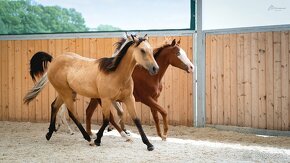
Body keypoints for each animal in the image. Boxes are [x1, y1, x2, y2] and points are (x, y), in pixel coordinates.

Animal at [23, 35, 160, 151]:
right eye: (142, 50)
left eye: (151, 50)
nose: (155, 68)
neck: (115, 74)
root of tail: (54, 60)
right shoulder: (105, 99)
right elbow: (106, 119)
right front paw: (98, 139)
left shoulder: (128, 98)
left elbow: (136, 120)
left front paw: (149, 144)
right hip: (66, 92)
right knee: (72, 113)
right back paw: (88, 138)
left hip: (66, 92)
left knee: (54, 106)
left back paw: (49, 134)